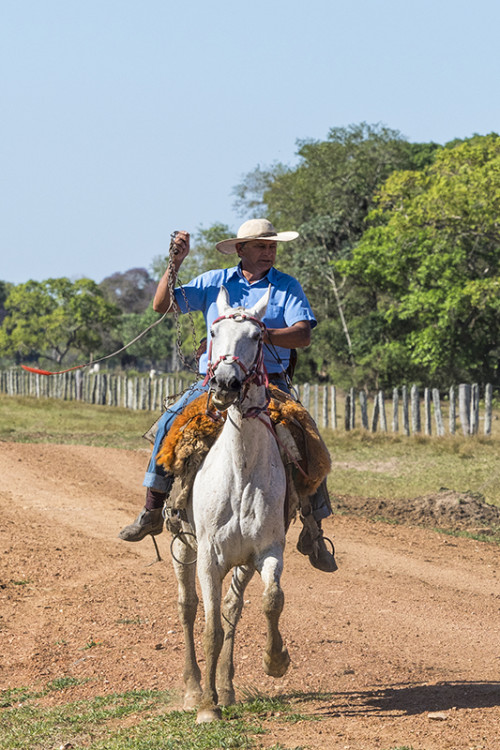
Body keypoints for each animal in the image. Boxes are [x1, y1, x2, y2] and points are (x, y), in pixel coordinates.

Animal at [171, 284, 290, 724]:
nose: (224, 382)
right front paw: (207, 708)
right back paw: (195, 688)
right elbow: (210, 629)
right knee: (189, 608)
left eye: (257, 336)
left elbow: (272, 601)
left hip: (240, 563)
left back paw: (225, 687)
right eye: (213, 332)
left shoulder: (268, 551)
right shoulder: (208, 556)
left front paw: (276, 660)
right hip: (183, 547)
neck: (240, 473)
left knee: (231, 610)